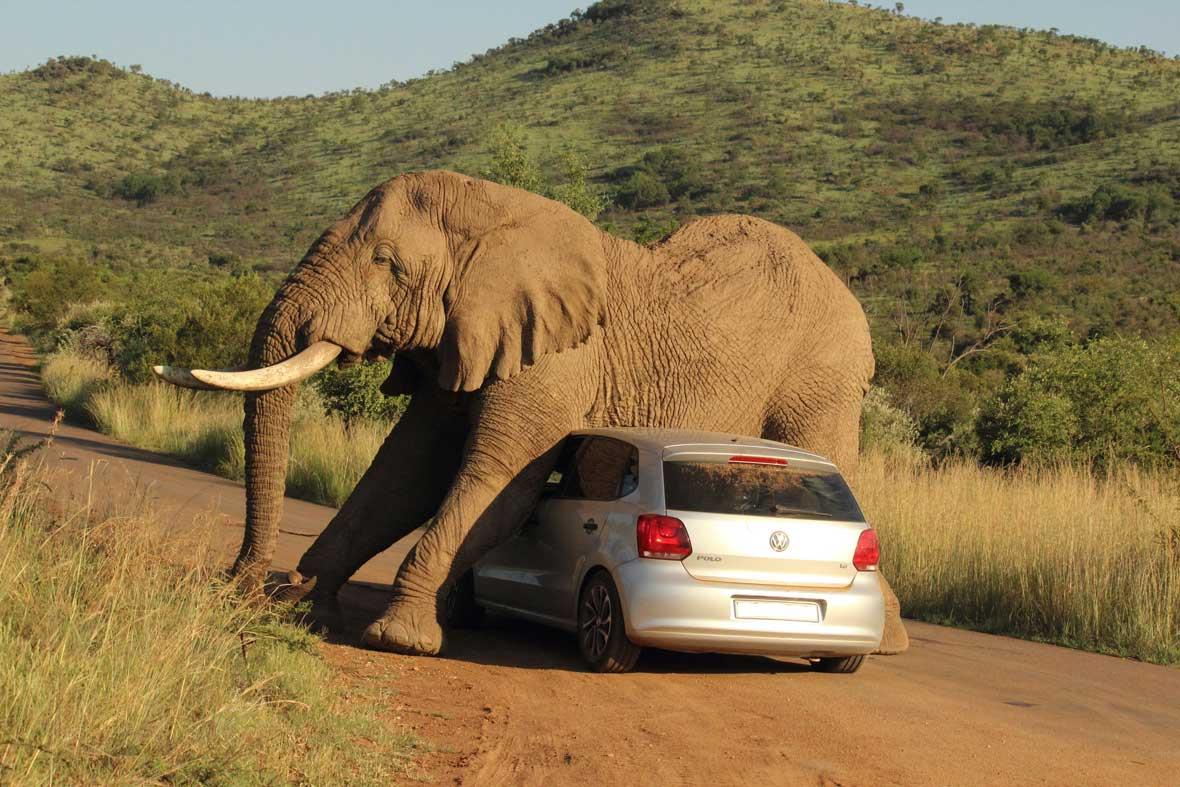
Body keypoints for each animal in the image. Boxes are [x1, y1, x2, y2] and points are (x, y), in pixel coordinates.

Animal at [155, 170, 909, 658]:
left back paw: (889, 639)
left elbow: (498, 480)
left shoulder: (557, 358)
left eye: (385, 262)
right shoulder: (467, 336)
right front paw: (307, 604)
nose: (241, 584)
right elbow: (404, 475)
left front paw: (399, 636)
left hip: (822, 375)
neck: (498, 214)